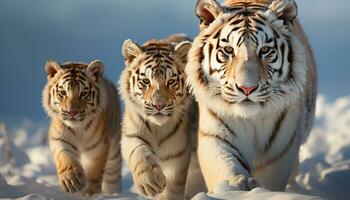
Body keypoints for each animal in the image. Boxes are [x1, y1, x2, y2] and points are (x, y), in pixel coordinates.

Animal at [186, 0, 318, 191]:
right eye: (228, 50)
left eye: (265, 50)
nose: (246, 88)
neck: (252, 119)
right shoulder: (215, 137)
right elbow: (227, 167)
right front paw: (239, 186)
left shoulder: (280, 152)